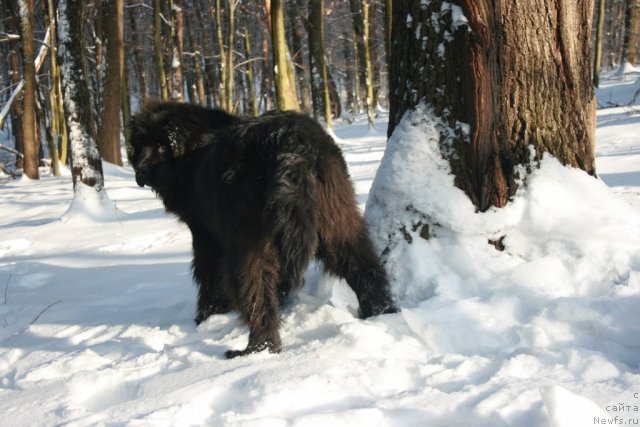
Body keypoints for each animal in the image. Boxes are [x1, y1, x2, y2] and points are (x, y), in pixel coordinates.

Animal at [128, 102, 398, 360]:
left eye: (162, 145)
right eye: (140, 144)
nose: (140, 171)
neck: (190, 159)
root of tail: (290, 139)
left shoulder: (205, 238)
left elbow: (208, 277)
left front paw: (207, 316)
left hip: (248, 237)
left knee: (256, 289)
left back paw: (258, 349)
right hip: (335, 215)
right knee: (363, 263)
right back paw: (382, 313)